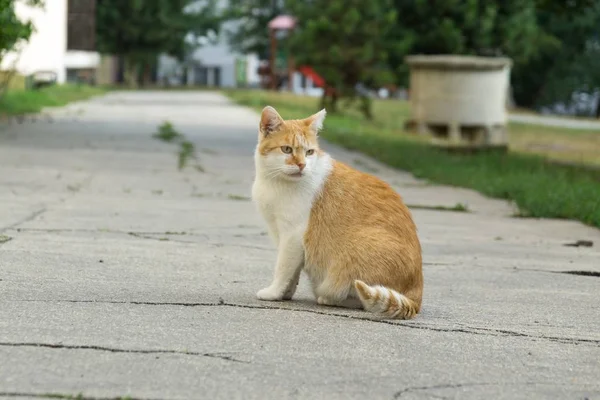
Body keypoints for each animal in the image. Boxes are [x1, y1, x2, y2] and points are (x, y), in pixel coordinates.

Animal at [251, 105, 424, 318]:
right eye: (287, 149)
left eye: (309, 152)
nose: (302, 165)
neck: (275, 182)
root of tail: (417, 297)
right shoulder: (285, 237)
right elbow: (293, 273)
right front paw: (286, 294)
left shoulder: (292, 237)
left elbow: (283, 269)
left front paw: (274, 293)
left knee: (363, 297)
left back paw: (329, 298)